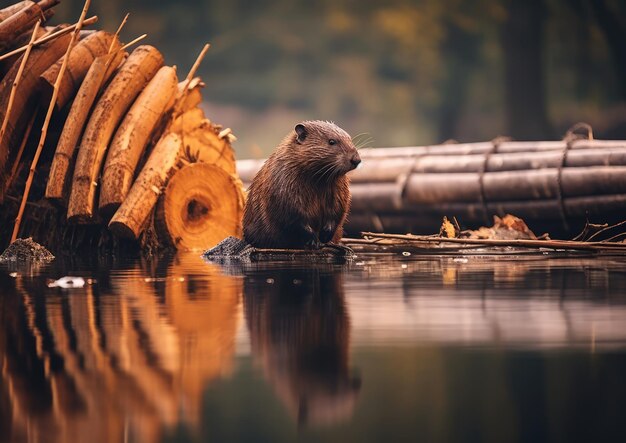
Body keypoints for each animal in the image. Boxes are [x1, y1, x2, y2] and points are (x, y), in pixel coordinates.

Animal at [244, 120, 360, 250]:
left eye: (350, 139)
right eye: (331, 141)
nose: (356, 159)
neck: (318, 180)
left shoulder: (339, 190)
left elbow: (337, 211)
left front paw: (325, 237)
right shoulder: (284, 185)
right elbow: (294, 216)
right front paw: (314, 241)